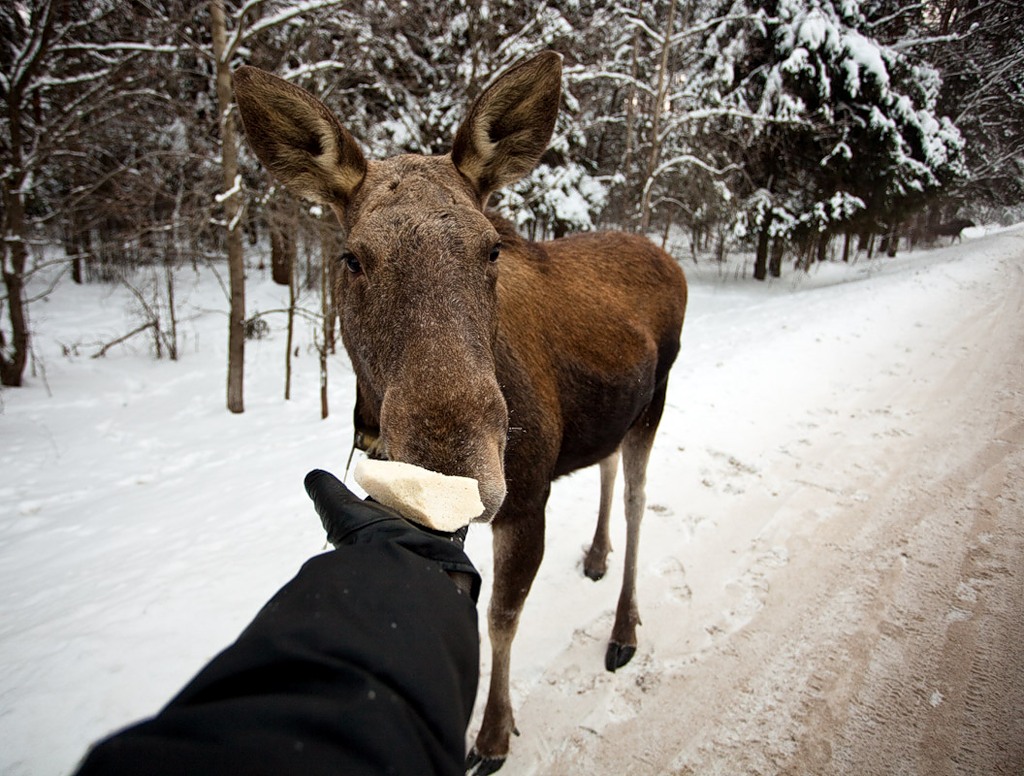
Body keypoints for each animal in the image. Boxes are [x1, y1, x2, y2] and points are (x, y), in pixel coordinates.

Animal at [234, 51, 688, 773]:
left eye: (491, 247)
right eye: (352, 256)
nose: (455, 462)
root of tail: (669, 258)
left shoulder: (526, 498)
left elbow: (500, 620)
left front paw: (493, 735)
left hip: (660, 397)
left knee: (639, 500)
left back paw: (623, 628)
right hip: (616, 410)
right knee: (610, 466)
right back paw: (595, 556)